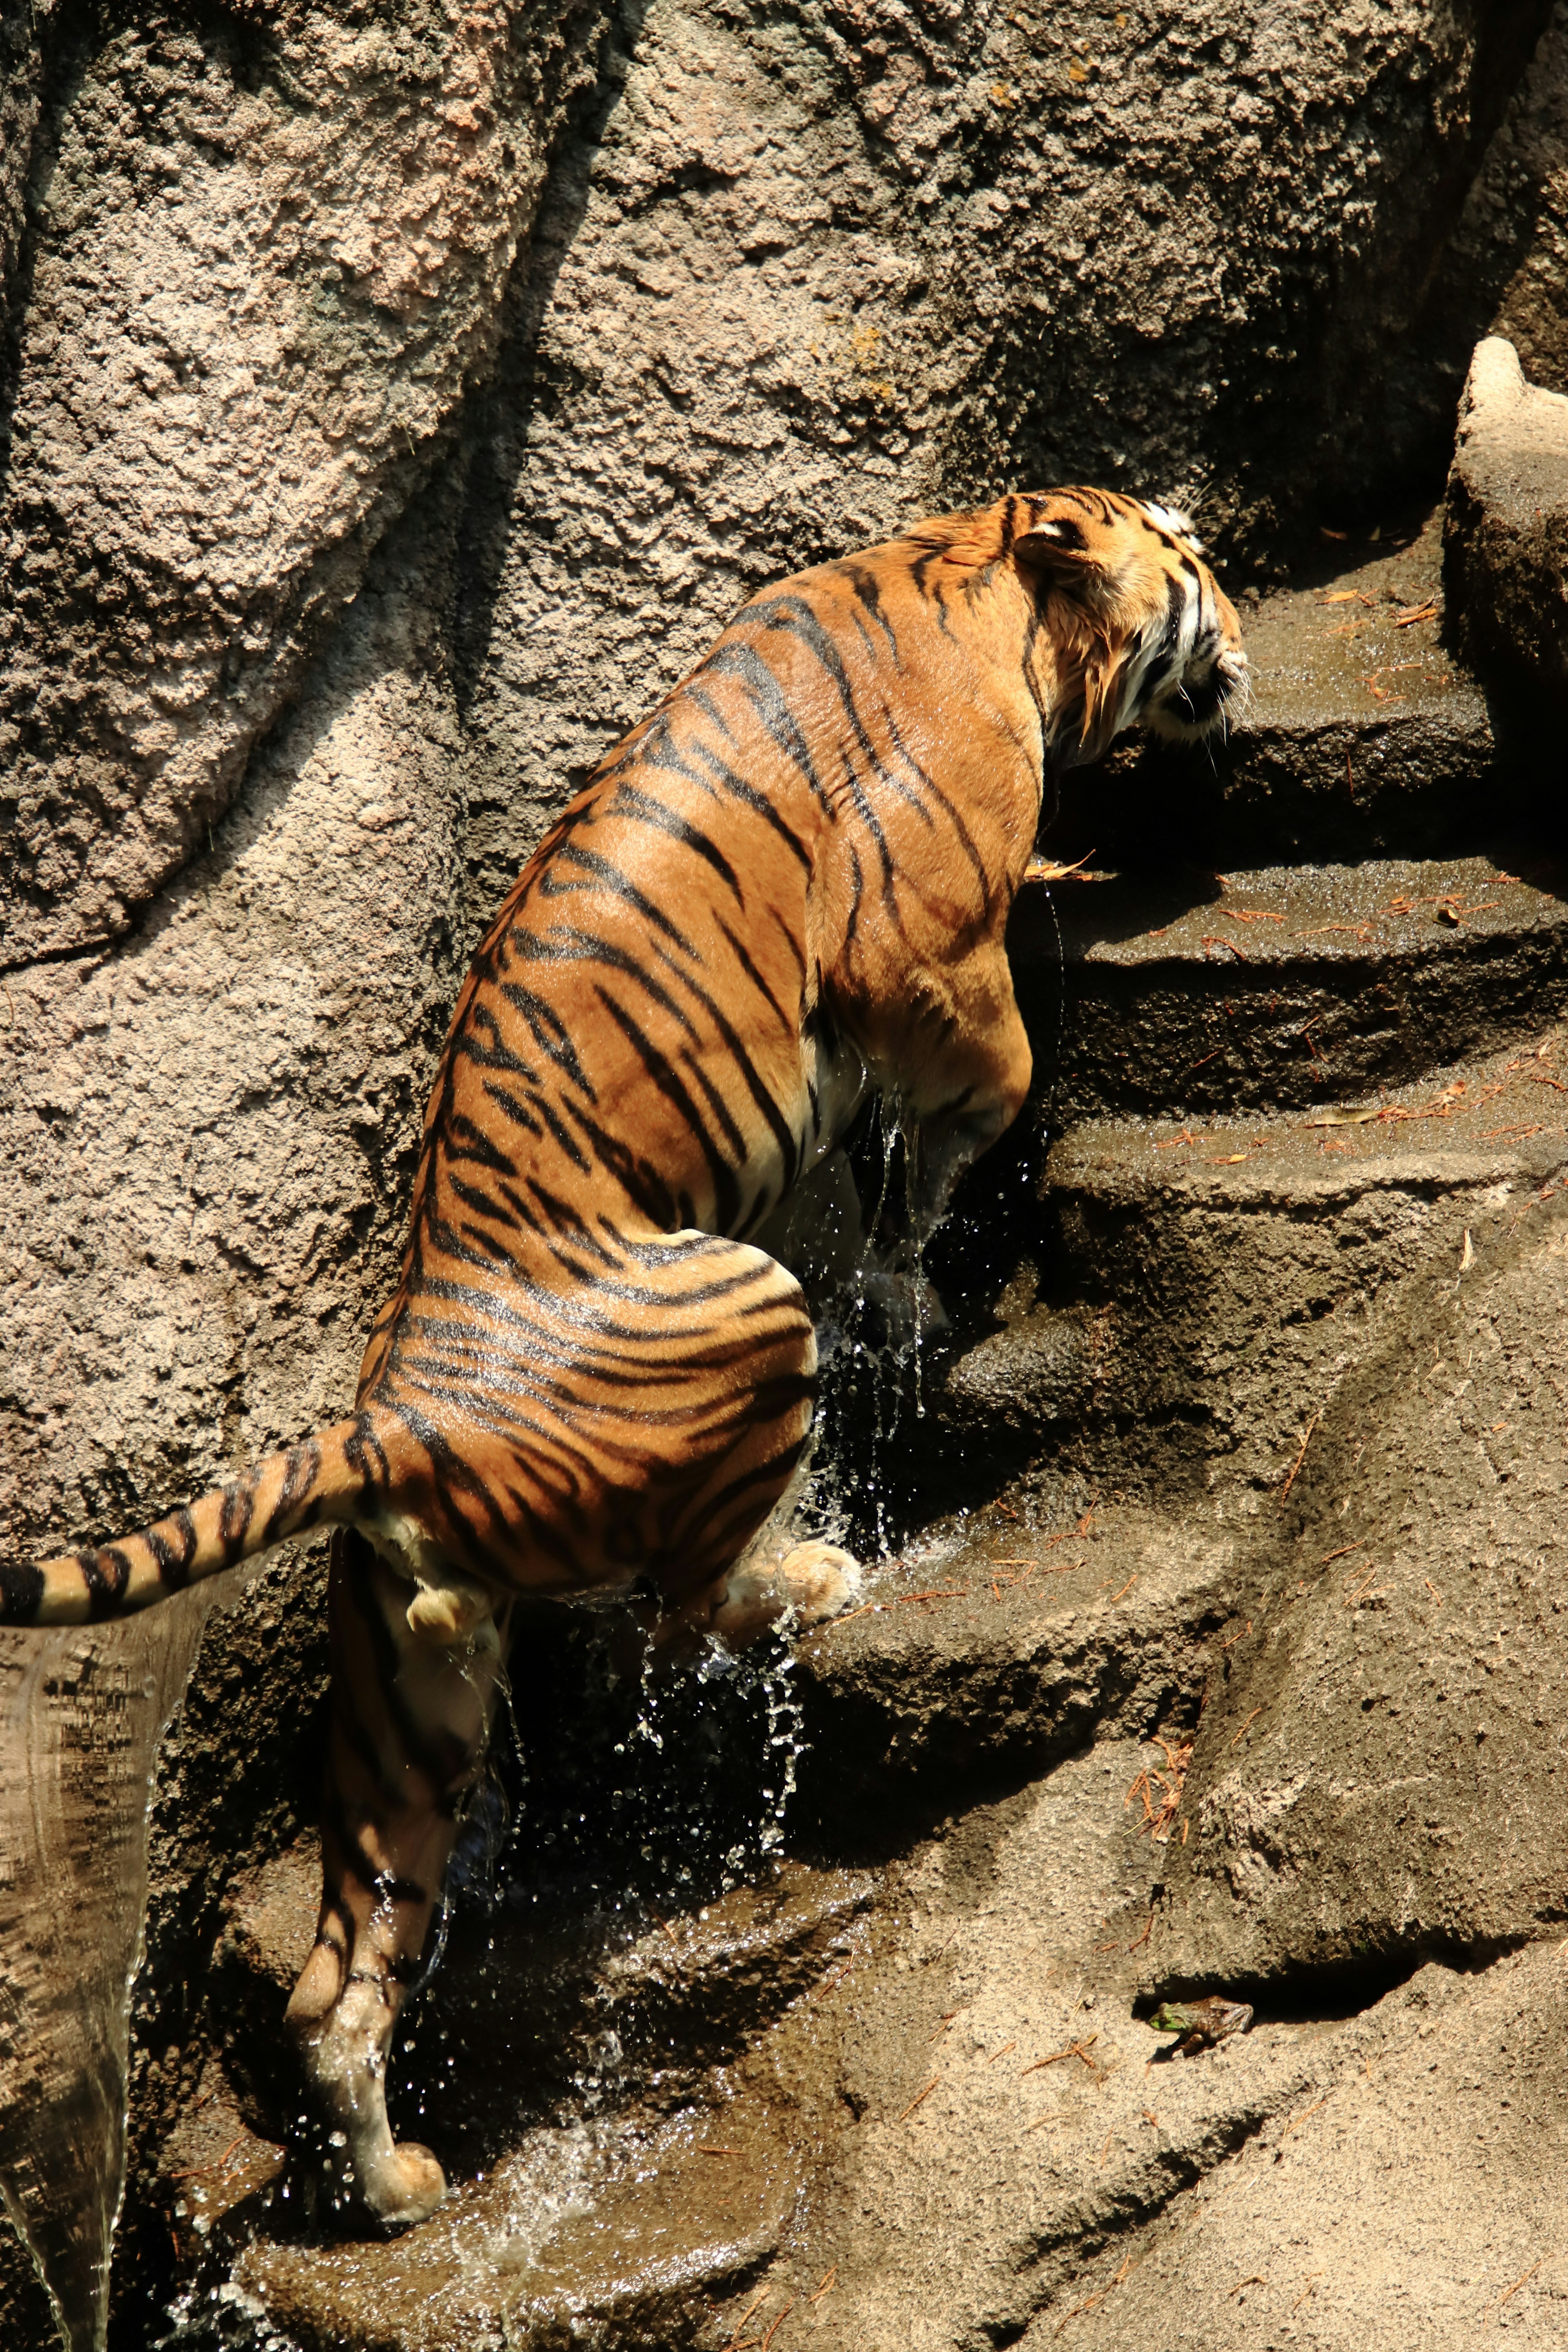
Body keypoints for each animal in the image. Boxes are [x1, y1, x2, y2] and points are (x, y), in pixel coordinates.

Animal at [3, 482, 1250, 2220]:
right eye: (1186, 558)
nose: (1245, 624)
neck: (970, 570)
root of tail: (384, 1417)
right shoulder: (916, 939)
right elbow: (983, 1081)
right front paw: (923, 1254)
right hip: (741, 1310)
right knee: (685, 1608)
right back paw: (819, 1569)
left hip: (408, 1708)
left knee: (338, 1982)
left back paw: (400, 2187)